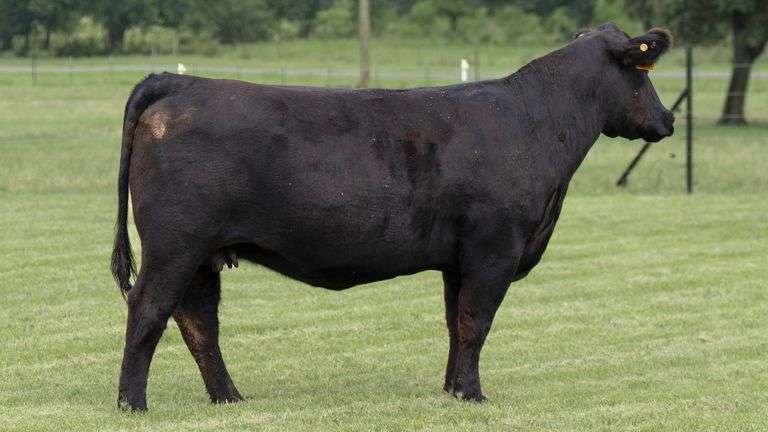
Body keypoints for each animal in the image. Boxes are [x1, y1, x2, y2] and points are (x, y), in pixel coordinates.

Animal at [111, 23, 674, 411]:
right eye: (641, 75)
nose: (668, 119)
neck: (534, 122)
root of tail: (179, 85)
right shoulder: (495, 248)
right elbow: (477, 321)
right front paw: (473, 395)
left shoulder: (459, 259)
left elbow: (455, 323)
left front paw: (452, 391)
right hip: (175, 245)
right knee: (149, 308)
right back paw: (132, 404)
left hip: (202, 254)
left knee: (198, 321)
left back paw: (229, 398)